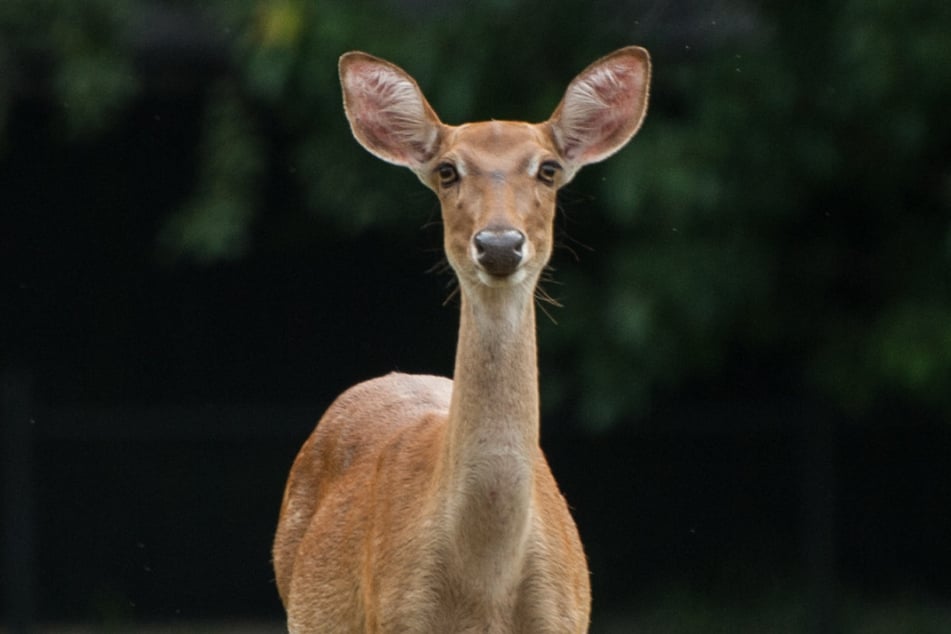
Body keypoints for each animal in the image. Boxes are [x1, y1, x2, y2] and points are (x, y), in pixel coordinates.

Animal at [272, 45, 652, 632]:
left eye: (548, 169)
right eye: (447, 170)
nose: (498, 244)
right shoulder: (397, 616)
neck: (485, 588)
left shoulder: (566, 615)